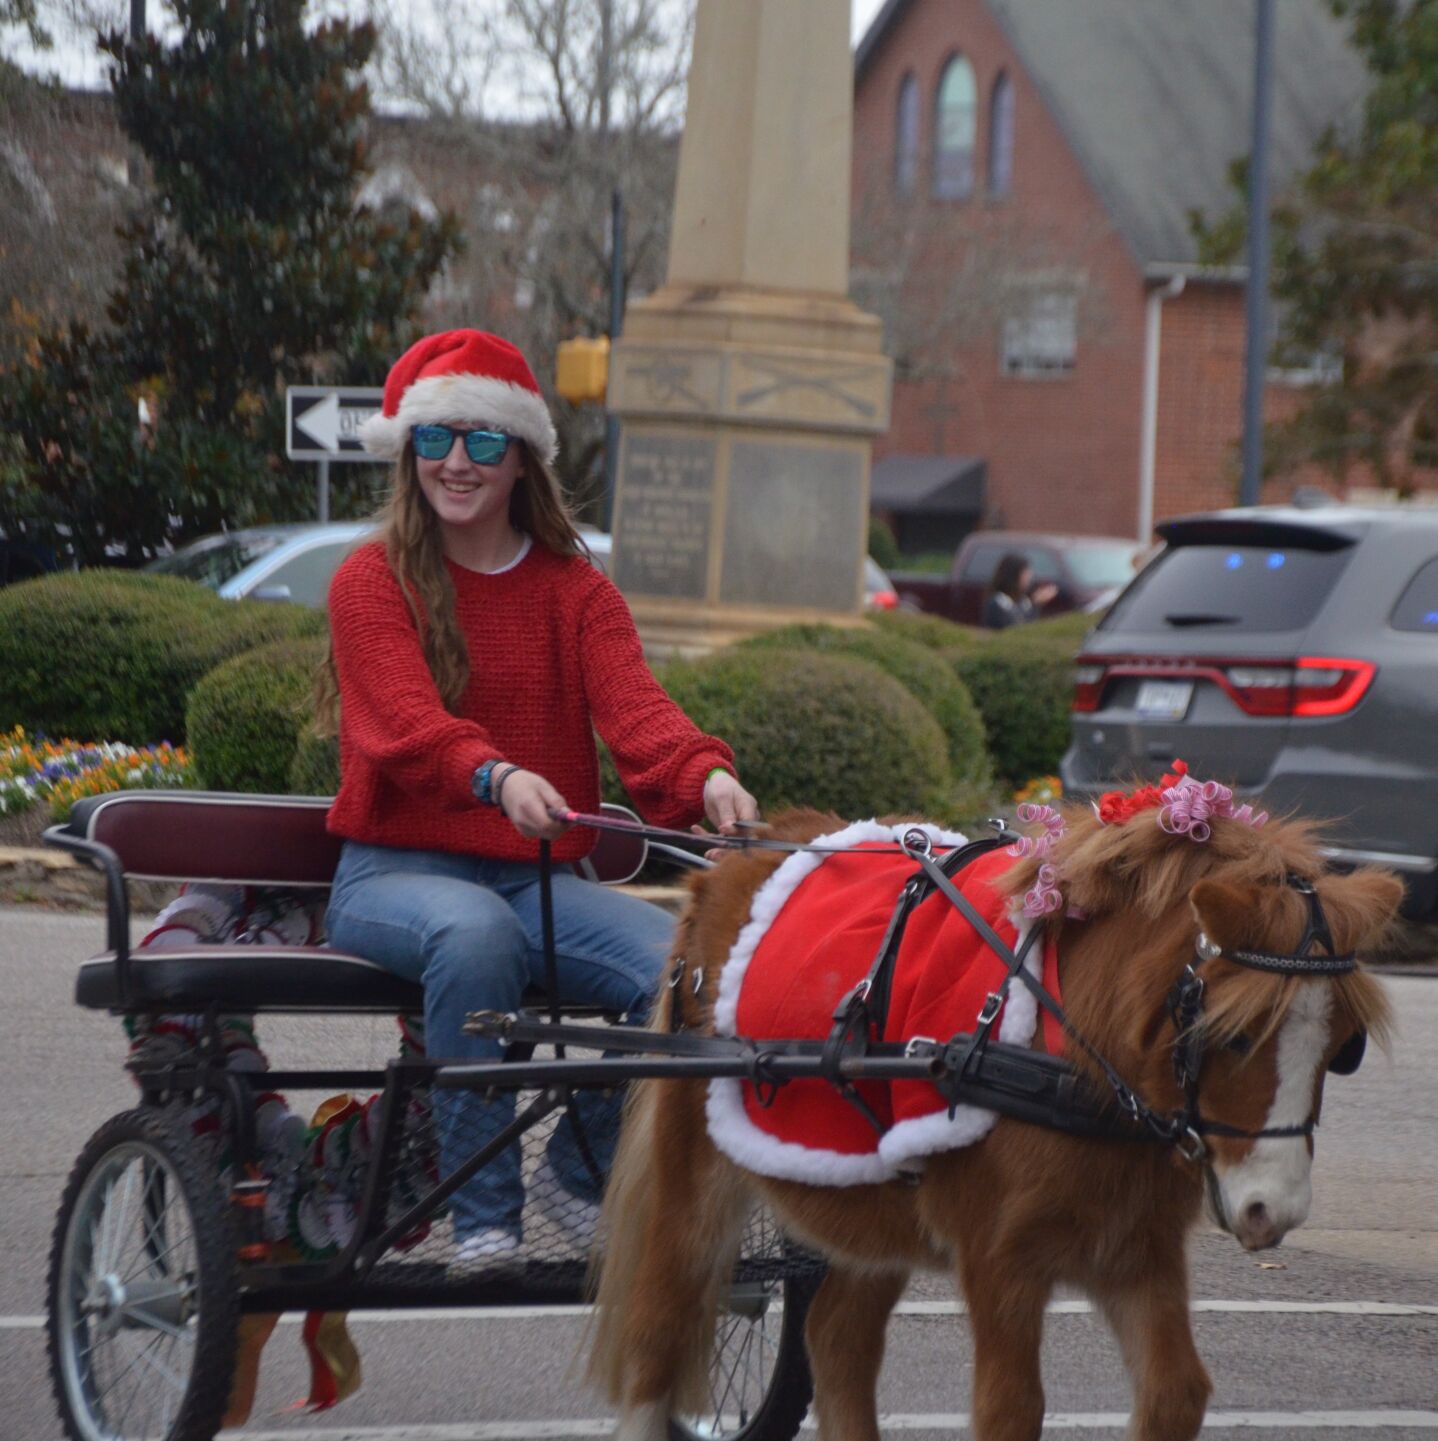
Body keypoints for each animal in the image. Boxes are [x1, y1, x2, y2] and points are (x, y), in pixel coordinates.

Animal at [590, 801, 1400, 1441]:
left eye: (1343, 1047)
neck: (1074, 1051)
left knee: (837, 1340)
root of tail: (727, 859)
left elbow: (1177, 1393)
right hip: (694, 1181)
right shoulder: (1001, 1259)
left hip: (868, 1203)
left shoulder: (1136, 1249)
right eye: (1233, 1036)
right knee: (655, 1338)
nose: (1273, 1211)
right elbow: (1011, 1408)